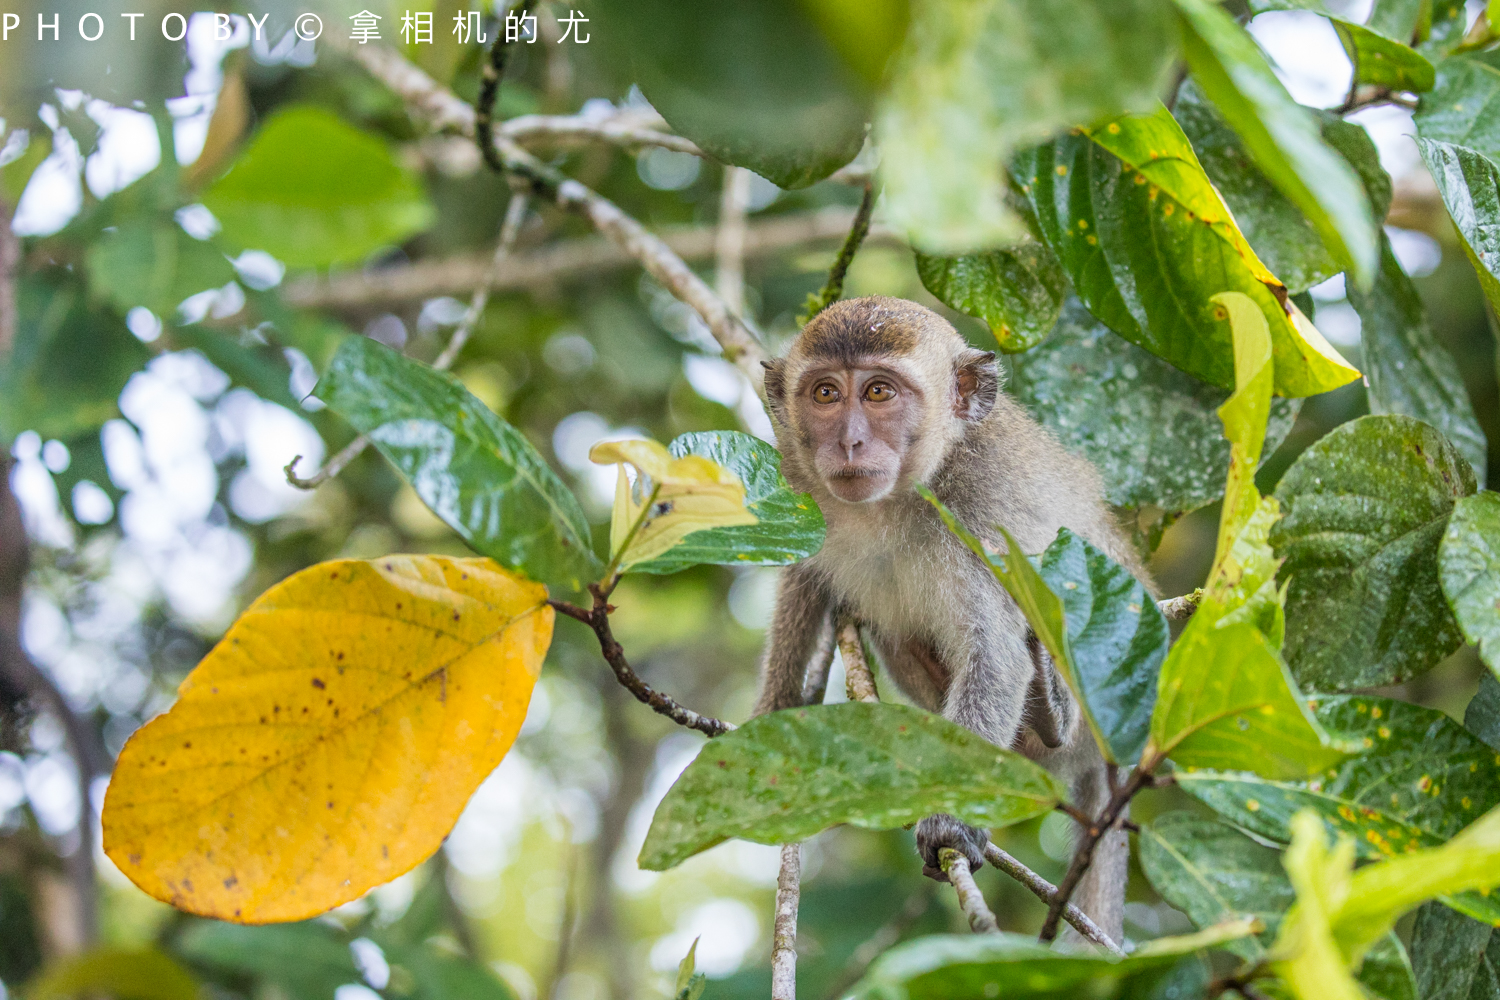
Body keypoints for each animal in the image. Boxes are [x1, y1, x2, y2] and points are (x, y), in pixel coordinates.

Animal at [750, 293, 1146, 941]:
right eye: (826, 394)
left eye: (879, 393)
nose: (850, 443)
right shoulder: (797, 477)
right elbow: (802, 577)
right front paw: (774, 714)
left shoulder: (981, 516)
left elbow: (996, 655)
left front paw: (950, 822)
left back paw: (1051, 713)